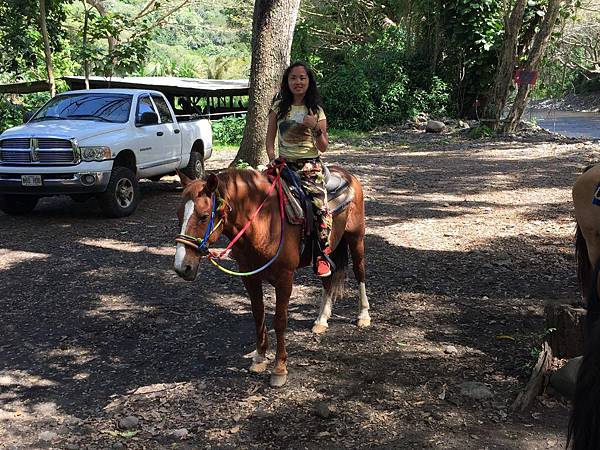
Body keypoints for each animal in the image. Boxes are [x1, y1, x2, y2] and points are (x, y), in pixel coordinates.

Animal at [172, 166, 370, 386]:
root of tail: (347, 174)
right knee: (327, 279)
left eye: (204, 216)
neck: (264, 222)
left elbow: (280, 320)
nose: (182, 267)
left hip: (356, 239)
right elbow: (258, 315)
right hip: (328, 251)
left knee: (360, 272)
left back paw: (363, 315)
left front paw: (279, 369)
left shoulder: (285, 279)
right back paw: (321, 320)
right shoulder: (250, 278)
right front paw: (259, 358)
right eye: (179, 215)